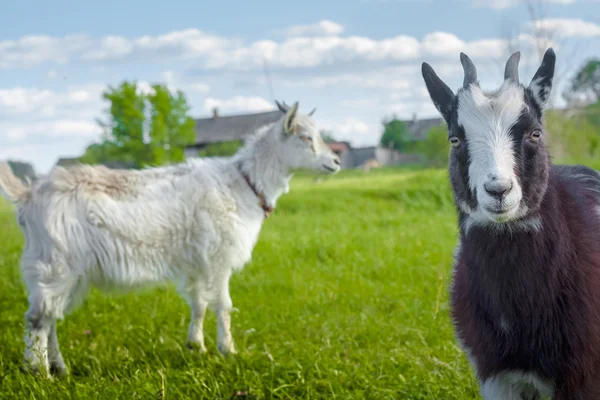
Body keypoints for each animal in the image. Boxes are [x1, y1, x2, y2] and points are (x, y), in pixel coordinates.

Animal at [0, 101, 340, 376]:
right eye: (305, 137)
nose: (336, 162)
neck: (242, 183)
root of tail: (27, 195)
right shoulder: (219, 257)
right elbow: (224, 305)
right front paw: (228, 351)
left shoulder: (198, 262)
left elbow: (199, 303)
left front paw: (196, 347)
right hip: (55, 264)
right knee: (38, 319)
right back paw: (39, 373)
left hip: (65, 272)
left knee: (51, 318)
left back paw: (59, 368)